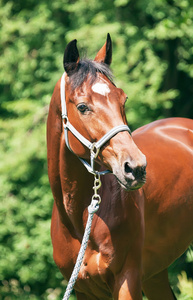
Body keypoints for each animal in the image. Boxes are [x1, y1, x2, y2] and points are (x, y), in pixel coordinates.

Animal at [46, 34, 193, 298]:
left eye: (123, 99)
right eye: (82, 107)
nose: (136, 168)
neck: (80, 219)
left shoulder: (128, 279)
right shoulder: (84, 290)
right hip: (155, 275)